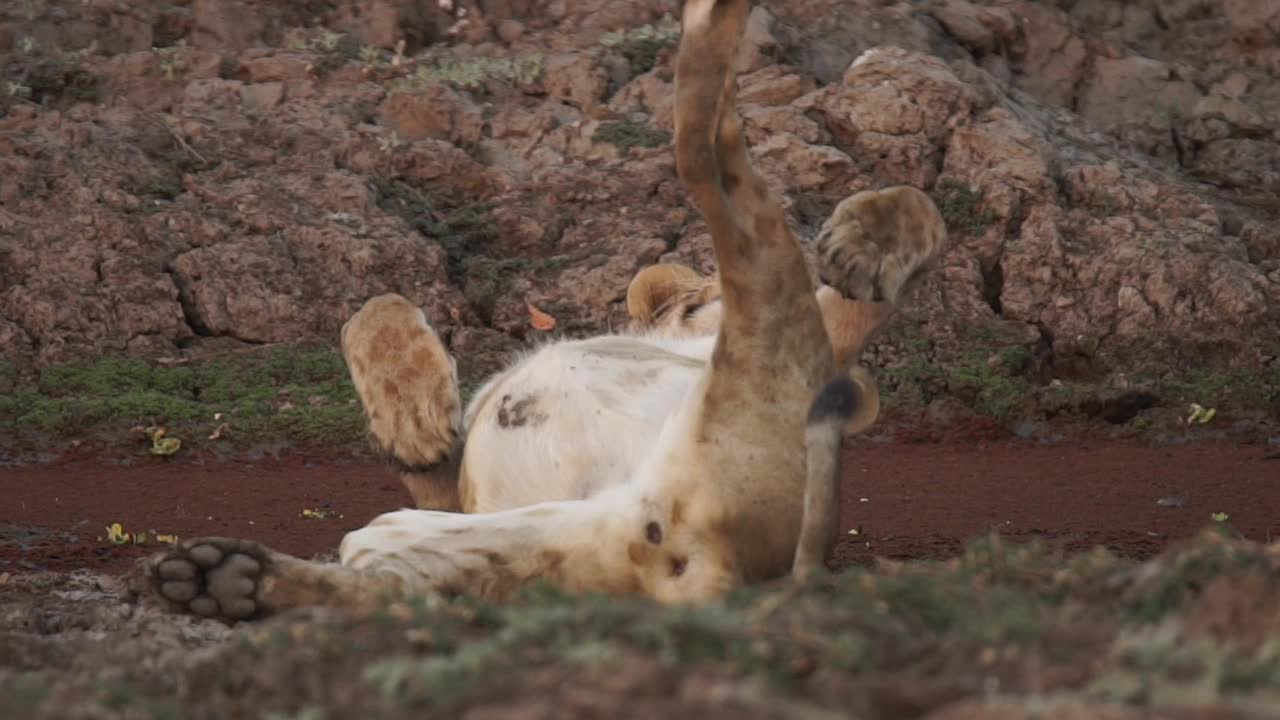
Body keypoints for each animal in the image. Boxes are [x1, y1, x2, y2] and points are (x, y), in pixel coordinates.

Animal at [145, 0, 947, 620]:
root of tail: (712, 568)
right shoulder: (452, 484)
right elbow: (378, 302)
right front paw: (413, 419)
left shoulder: (821, 344)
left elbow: (918, 213)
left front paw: (866, 243)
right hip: (545, 549)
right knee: (407, 587)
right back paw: (228, 578)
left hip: (756, 348)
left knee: (702, 142)